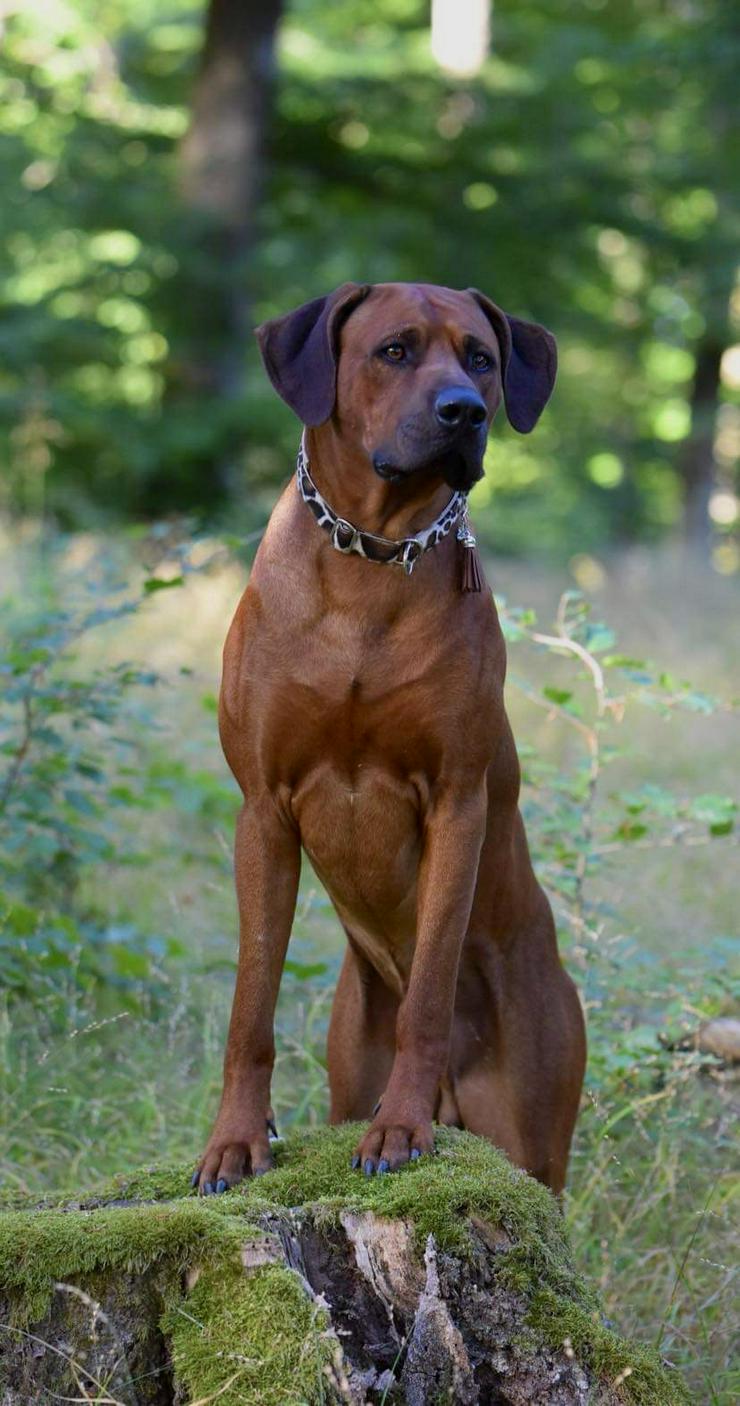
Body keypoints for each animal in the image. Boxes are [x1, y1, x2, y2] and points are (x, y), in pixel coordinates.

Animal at [194, 282, 588, 1197]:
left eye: (481, 358)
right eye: (395, 351)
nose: (465, 411)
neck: (370, 557)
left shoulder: (455, 800)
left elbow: (431, 987)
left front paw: (403, 1128)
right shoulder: (262, 811)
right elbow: (250, 1003)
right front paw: (235, 1141)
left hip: (539, 1127)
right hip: (350, 1053)